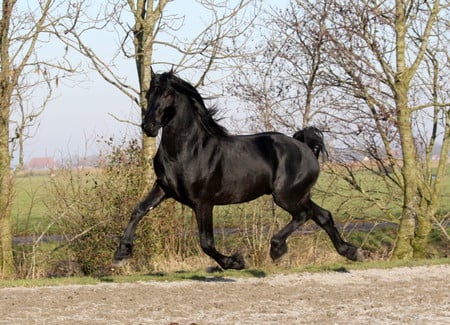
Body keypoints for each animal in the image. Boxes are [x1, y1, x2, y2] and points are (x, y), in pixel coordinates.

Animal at [113, 70, 362, 268]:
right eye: (148, 94)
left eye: (166, 94)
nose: (148, 127)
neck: (187, 151)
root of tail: (306, 147)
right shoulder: (163, 188)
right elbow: (138, 210)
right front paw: (121, 254)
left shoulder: (203, 202)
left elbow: (206, 242)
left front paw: (235, 262)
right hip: (298, 194)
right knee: (322, 215)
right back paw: (349, 251)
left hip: (286, 196)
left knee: (304, 215)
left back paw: (276, 249)